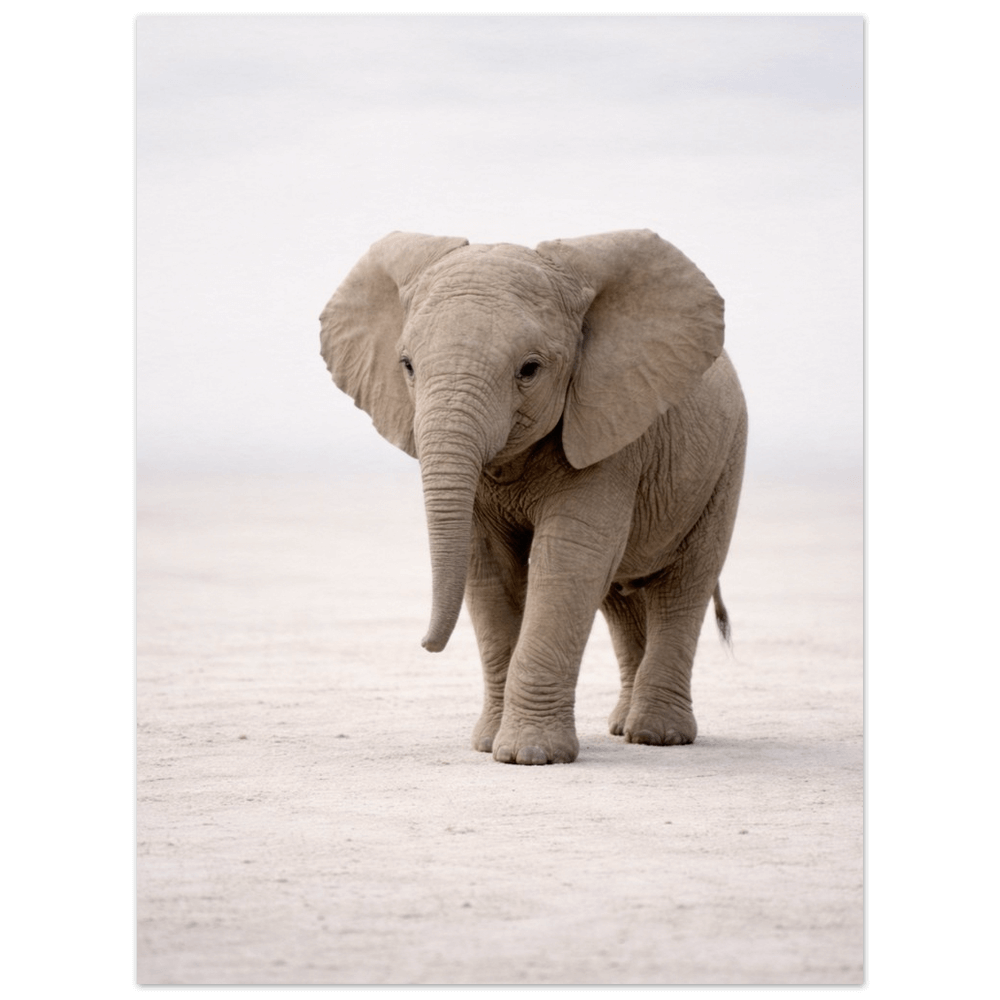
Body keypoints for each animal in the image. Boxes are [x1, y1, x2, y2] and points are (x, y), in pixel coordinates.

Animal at [320, 229, 747, 765]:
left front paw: (530, 755)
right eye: (407, 366)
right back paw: (621, 727)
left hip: (724, 463)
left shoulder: (609, 434)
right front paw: (488, 746)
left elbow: (568, 559)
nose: (424, 644)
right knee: (620, 600)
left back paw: (657, 736)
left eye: (529, 369)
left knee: (683, 586)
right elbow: (488, 568)